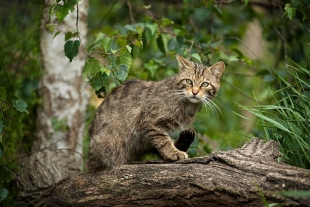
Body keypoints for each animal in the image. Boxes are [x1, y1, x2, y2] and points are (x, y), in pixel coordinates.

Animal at [87, 53, 225, 171]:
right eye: (188, 81)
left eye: (205, 84)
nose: (195, 92)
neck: (187, 105)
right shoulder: (150, 121)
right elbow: (163, 140)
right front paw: (173, 152)